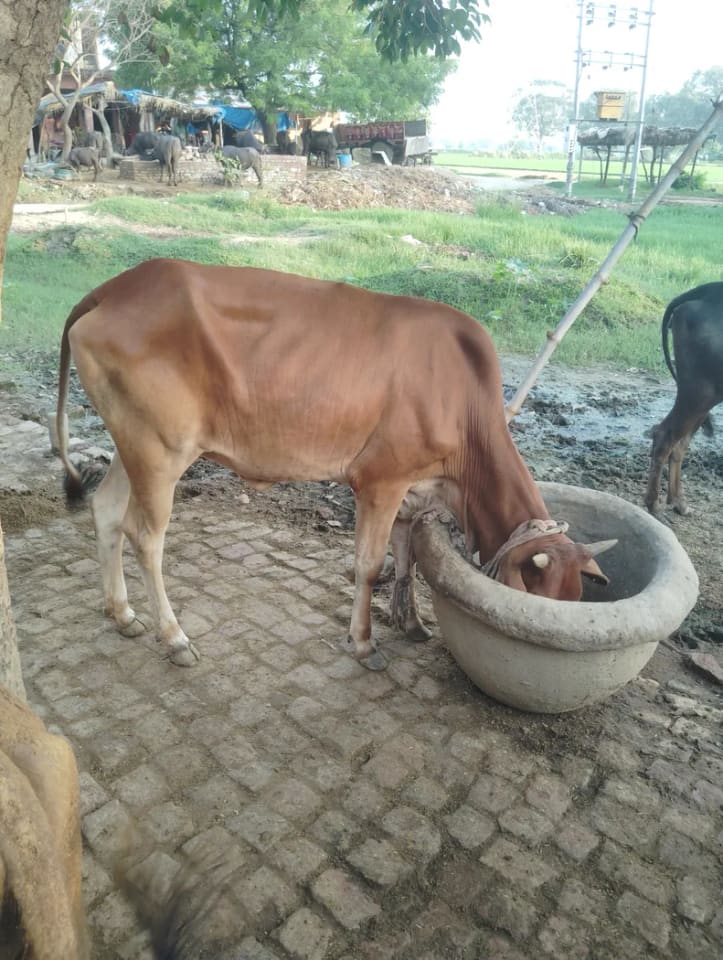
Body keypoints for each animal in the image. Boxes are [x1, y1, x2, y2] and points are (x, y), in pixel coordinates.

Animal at [55, 259, 614, 671]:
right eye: (534, 596)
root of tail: (115, 287)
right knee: (145, 536)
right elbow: (369, 566)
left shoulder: (414, 491)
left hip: (132, 443)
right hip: (161, 451)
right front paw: (364, 643)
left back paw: (122, 613)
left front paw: (411, 623)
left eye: (575, 597)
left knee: (106, 511)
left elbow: (406, 557)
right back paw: (173, 637)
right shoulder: (381, 482)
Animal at [645, 281, 723, 515]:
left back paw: (678, 500)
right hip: (701, 392)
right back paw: (653, 502)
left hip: (701, 395)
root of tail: (707, 290)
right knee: (665, 436)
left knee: (680, 443)